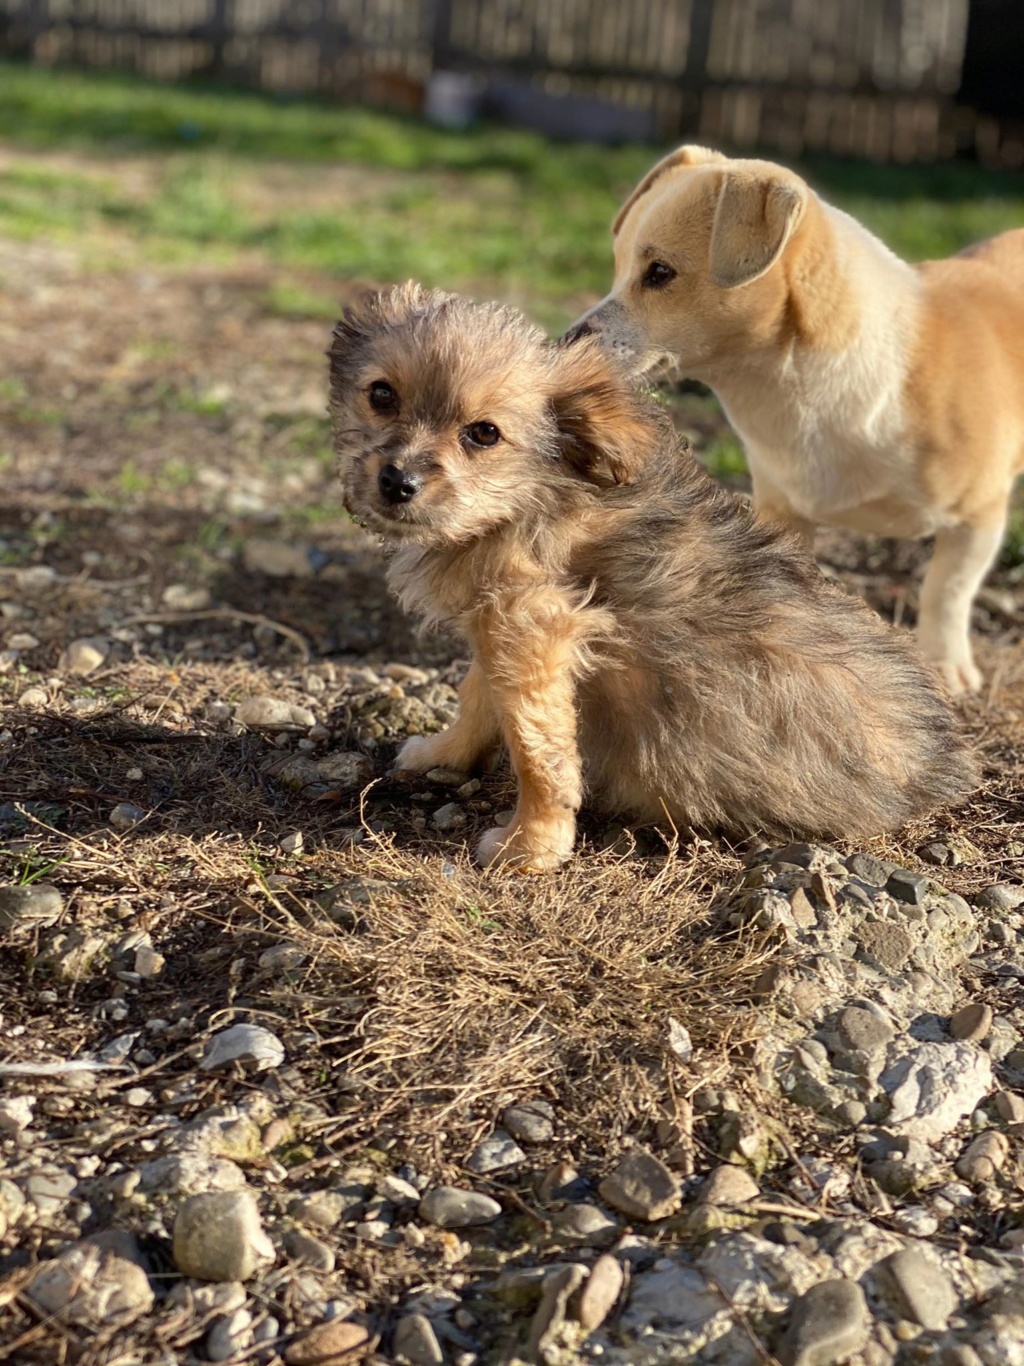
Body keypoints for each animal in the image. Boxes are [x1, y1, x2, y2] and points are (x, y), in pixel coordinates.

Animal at [329, 282, 977, 868]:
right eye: (382, 395)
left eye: (483, 433)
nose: (398, 481)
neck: (530, 497)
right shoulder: (506, 621)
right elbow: (478, 695)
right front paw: (444, 753)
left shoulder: (533, 624)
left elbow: (539, 749)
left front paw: (530, 848)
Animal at [565, 149, 1024, 693]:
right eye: (617, 266)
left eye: (660, 272)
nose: (570, 337)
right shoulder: (786, 515)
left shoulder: (977, 519)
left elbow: (945, 591)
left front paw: (946, 669)